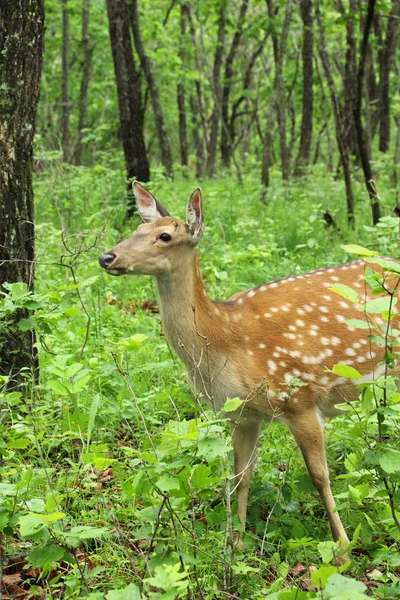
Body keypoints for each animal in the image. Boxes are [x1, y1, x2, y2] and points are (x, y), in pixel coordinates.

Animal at [100, 184, 400, 552]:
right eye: (137, 230)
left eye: (165, 236)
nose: (107, 257)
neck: (225, 342)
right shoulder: (241, 414)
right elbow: (240, 477)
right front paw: (237, 544)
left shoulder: (299, 397)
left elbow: (320, 476)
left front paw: (342, 547)